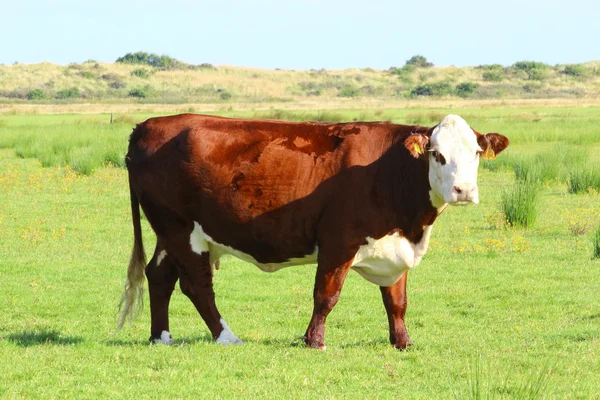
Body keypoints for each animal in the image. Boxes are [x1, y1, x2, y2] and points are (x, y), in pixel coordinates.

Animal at [119, 113, 508, 350]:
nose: (463, 190)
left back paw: (161, 337)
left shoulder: (395, 246)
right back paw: (227, 336)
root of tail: (148, 125)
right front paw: (314, 340)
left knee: (160, 276)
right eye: (437, 154)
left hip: (170, 232)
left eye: (476, 153)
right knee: (197, 286)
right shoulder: (338, 241)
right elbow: (326, 295)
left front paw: (402, 342)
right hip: (181, 230)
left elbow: (397, 301)